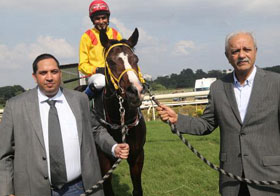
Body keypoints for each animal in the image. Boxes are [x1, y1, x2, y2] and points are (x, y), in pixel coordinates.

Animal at [94, 28, 147, 196]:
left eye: (136, 59)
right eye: (111, 62)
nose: (135, 91)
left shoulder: (137, 156)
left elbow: (137, 190)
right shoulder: (103, 161)